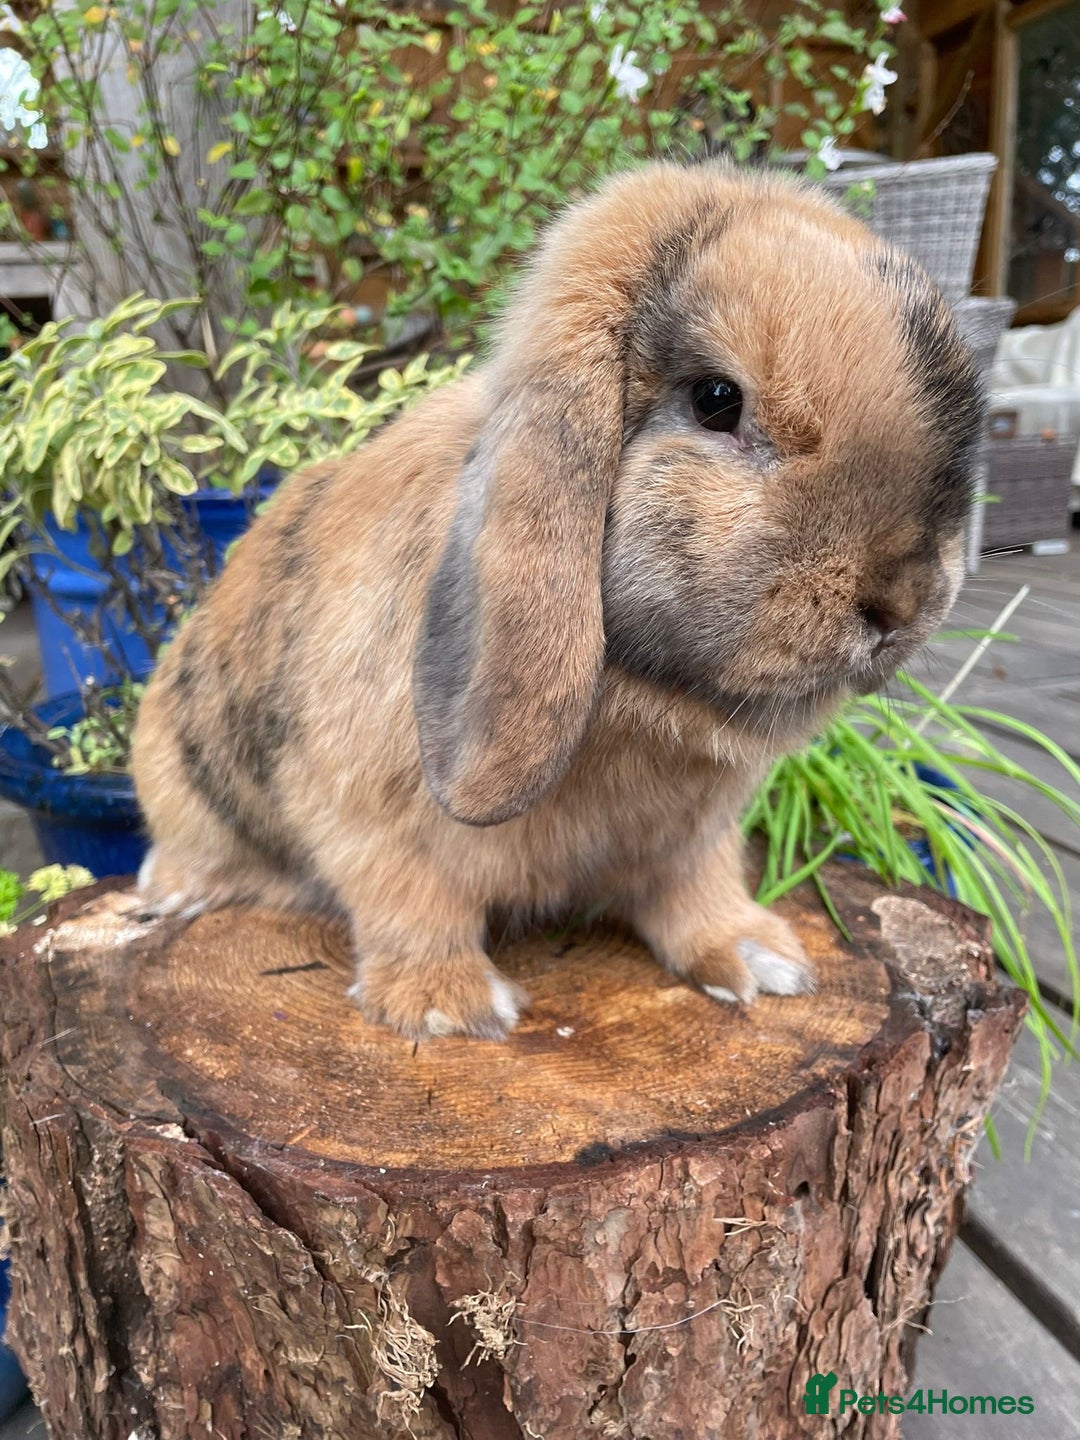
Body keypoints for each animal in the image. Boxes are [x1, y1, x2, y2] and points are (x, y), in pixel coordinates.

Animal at [131, 160, 982, 1041]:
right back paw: (171, 893)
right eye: (717, 399)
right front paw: (448, 1008)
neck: (639, 701)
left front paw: (759, 961)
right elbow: (411, 904)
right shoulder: (365, 816)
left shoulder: (693, 838)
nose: (900, 604)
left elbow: (698, 893)